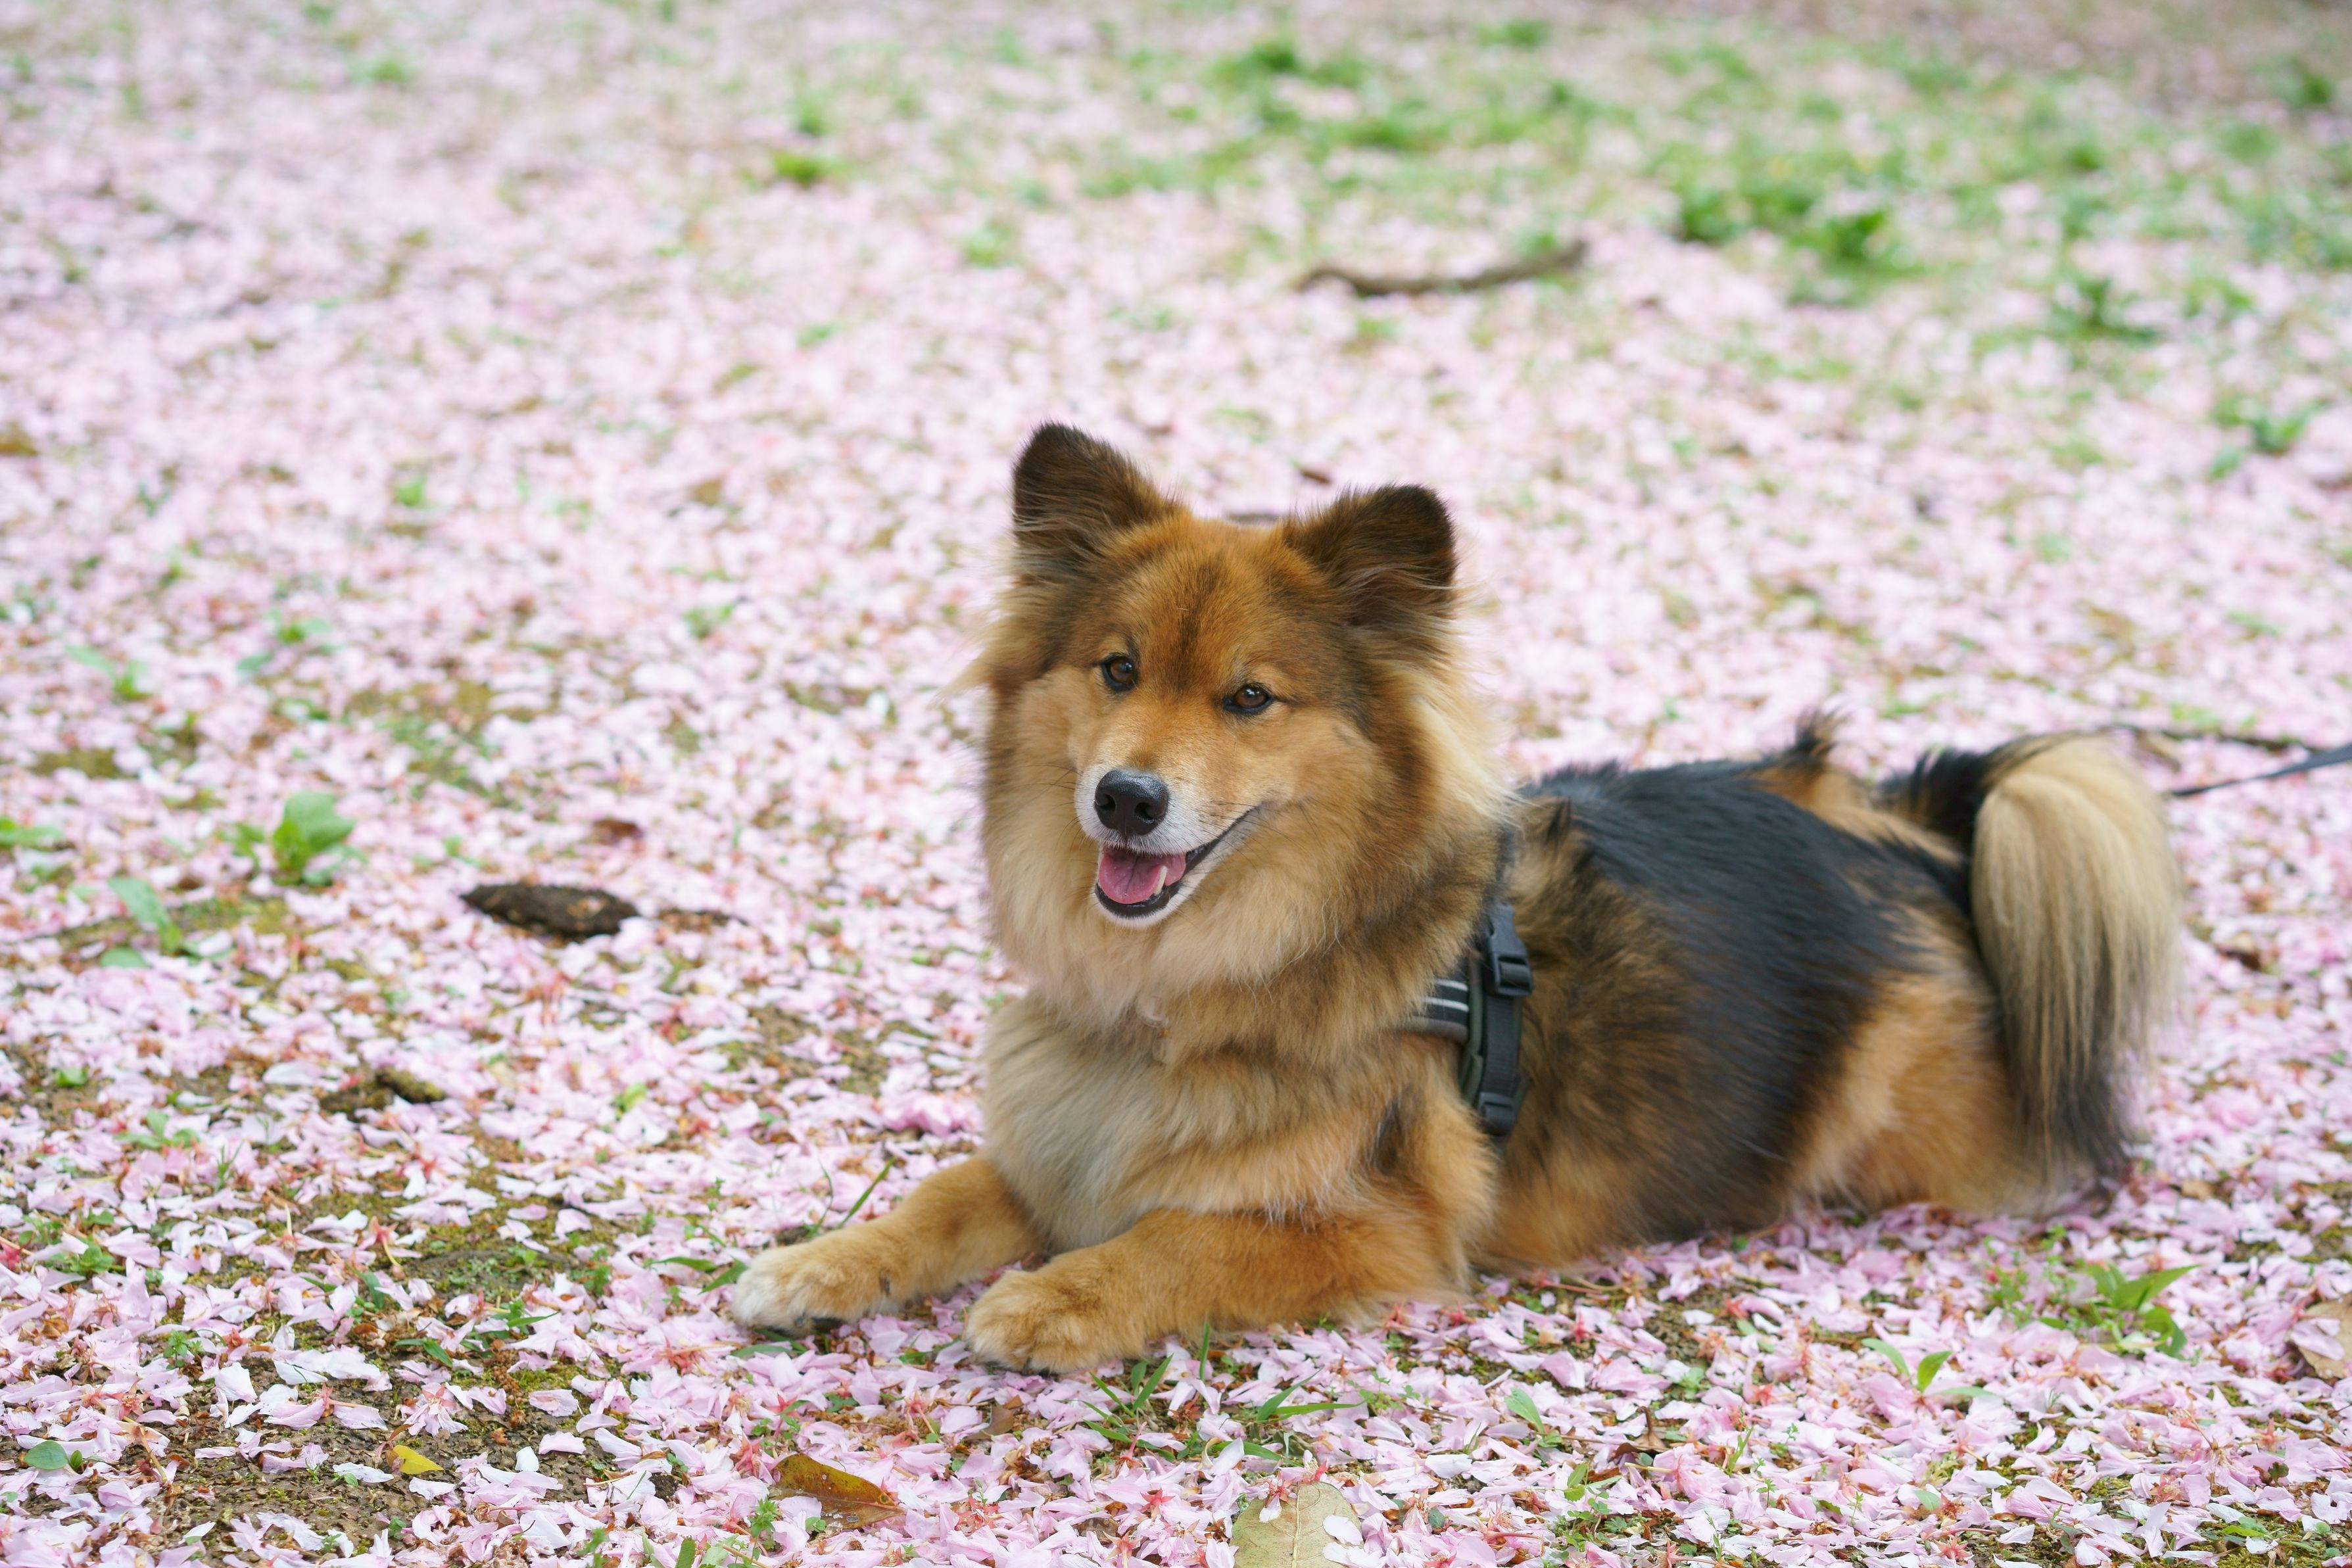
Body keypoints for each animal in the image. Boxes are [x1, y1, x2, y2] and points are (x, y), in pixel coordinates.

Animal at [732, 424, 2182, 1372]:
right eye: (1115, 669)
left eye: (1248, 698)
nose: (1126, 799)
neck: (1180, 995)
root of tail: (1910, 827)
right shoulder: (1067, 1135)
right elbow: (942, 1194)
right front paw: (822, 1260)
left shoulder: (1377, 1230)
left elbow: (1182, 1240)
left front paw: (1055, 1298)